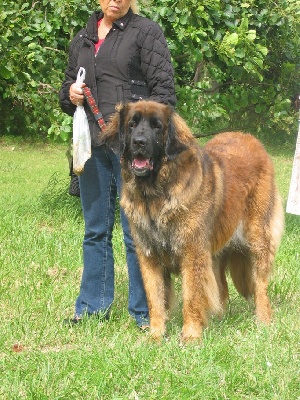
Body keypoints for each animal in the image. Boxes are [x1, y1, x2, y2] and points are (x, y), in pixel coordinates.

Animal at [103, 100, 284, 340]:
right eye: (132, 124)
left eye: (157, 127)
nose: (139, 142)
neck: (156, 194)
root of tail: (250, 138)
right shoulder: (149, 255)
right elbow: (155, 299)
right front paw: (156, 335)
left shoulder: (192, 253)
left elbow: (191, 296)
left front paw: (190, 335)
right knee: (221, 285)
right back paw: (218, 319)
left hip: (257, 235)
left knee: (260, 283)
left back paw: (263, 320)